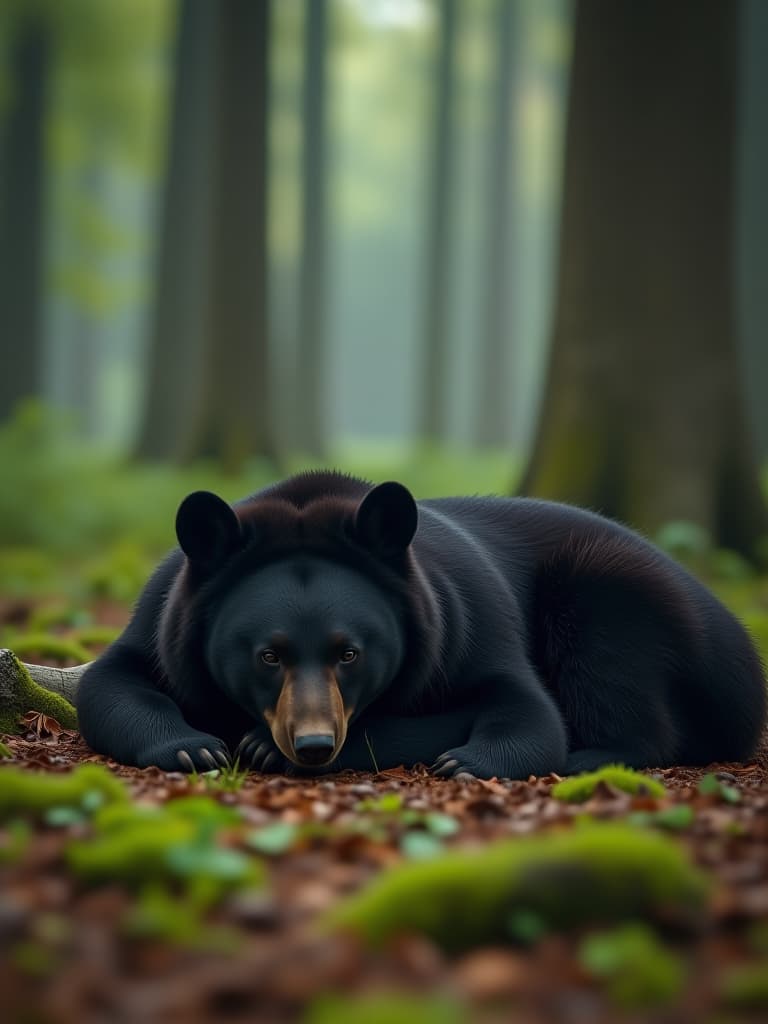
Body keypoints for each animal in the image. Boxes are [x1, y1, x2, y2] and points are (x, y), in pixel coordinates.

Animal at [78, 471, 768, 774]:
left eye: (350, 653)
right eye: (267, 656)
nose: (313, 745)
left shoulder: (468, 620)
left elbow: (526, 711)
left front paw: (467, 759)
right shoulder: (164, 616)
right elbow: (111, 681)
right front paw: (192, 745)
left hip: (615, 592)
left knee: (617, 679)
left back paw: (591, 754)